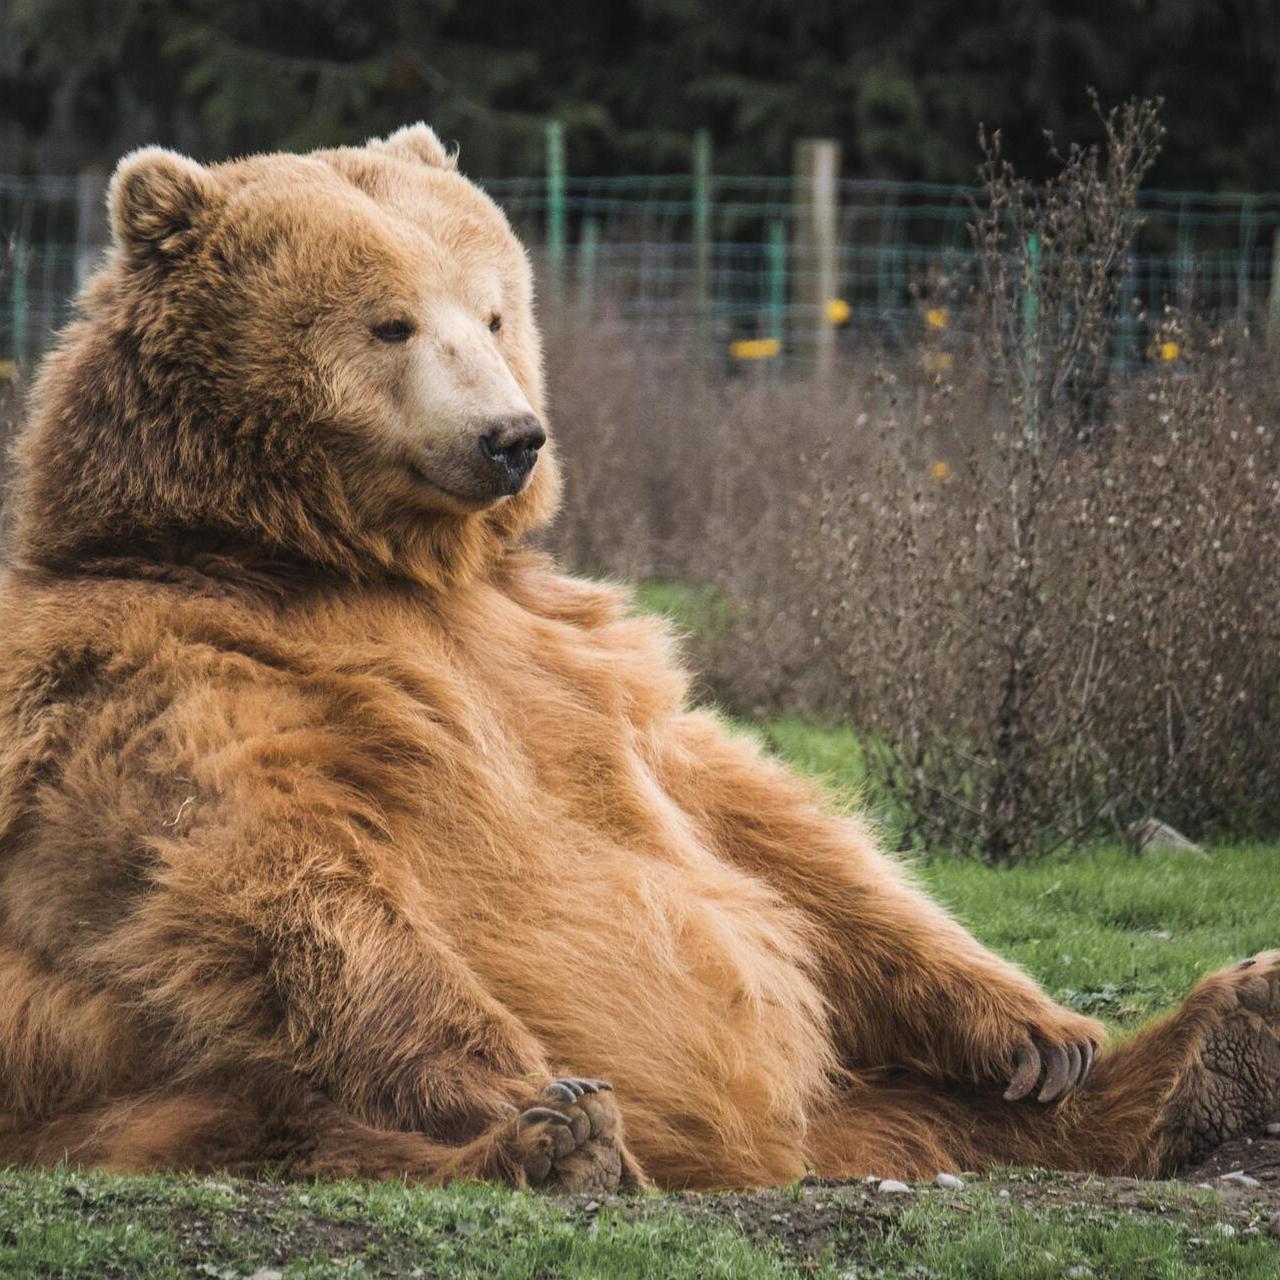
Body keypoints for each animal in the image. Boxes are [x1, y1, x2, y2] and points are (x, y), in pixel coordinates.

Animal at [0, 124, 1274, 1192]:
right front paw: (530, 1086)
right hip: (108, 1071)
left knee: (931, 1110)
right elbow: (271, 872)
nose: (510, 435)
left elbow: (761, 822)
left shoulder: (569, 654)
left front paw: (1038, 1029)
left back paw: (1216, 1045)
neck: (340, 559)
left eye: (492, 310)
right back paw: (555, 1143)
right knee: (275, 1114)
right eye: (388, 322)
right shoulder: (172, 669)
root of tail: (766, 1152)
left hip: (852, 1101)